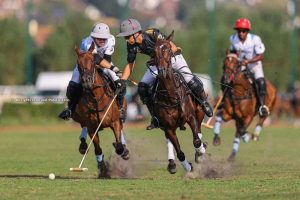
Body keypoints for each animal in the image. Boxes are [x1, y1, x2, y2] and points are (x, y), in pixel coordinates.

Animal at [72, 43, 130, 177]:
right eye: (78, 64)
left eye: (93, 61)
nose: (86, 81)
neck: (96, 98)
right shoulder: (92, 127)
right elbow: (98, 149)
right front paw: (103, 169)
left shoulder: (115, 122)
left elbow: (119, 145)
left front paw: (123, 150)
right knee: (83, 127)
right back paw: (83, 145)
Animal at [154, 31, 207, 173]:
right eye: (154, 51)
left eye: (167, 49)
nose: (161, 70)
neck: (171, 96)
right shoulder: (168, 128)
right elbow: (180, 153)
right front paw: (188, 167)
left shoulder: (190, 117)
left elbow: (196, 141)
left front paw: (200, 152)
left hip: (199, 112)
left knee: (199, 130)